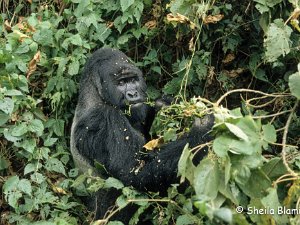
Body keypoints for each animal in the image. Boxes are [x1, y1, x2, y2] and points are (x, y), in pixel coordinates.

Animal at [70, 48, 213, 222]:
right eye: (121, 83)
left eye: (133, 80)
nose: (133, 93)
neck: (95, 95)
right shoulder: (101, 119)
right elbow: (135, 172)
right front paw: (203, 127)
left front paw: (164, 107)